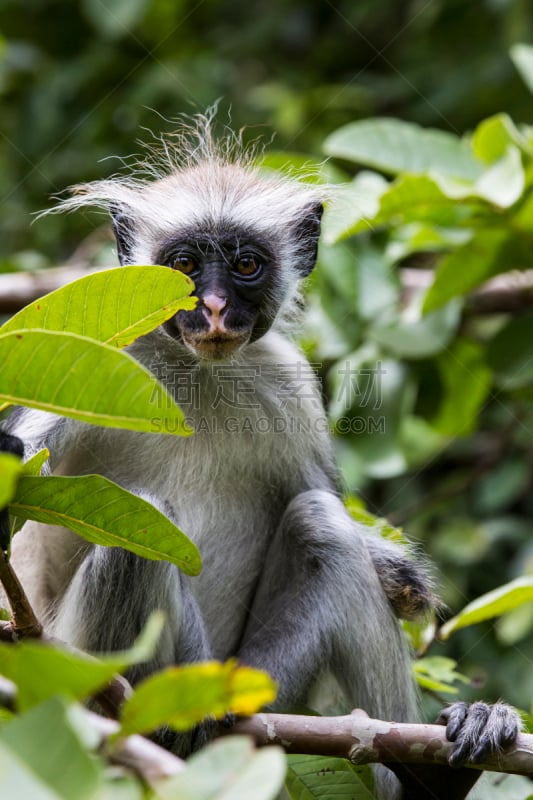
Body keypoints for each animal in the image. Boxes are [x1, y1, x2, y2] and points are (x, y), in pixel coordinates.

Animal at [0, 115, 520, 796]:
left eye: (246, 264)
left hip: (258, 683)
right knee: (133, 546)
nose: (217, 307)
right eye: (185, 266)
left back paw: (422, 774)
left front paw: (401, 579)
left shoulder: (289, 385)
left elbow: (328, 509)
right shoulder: (95, 353)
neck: (199, 372)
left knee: (319, 524)